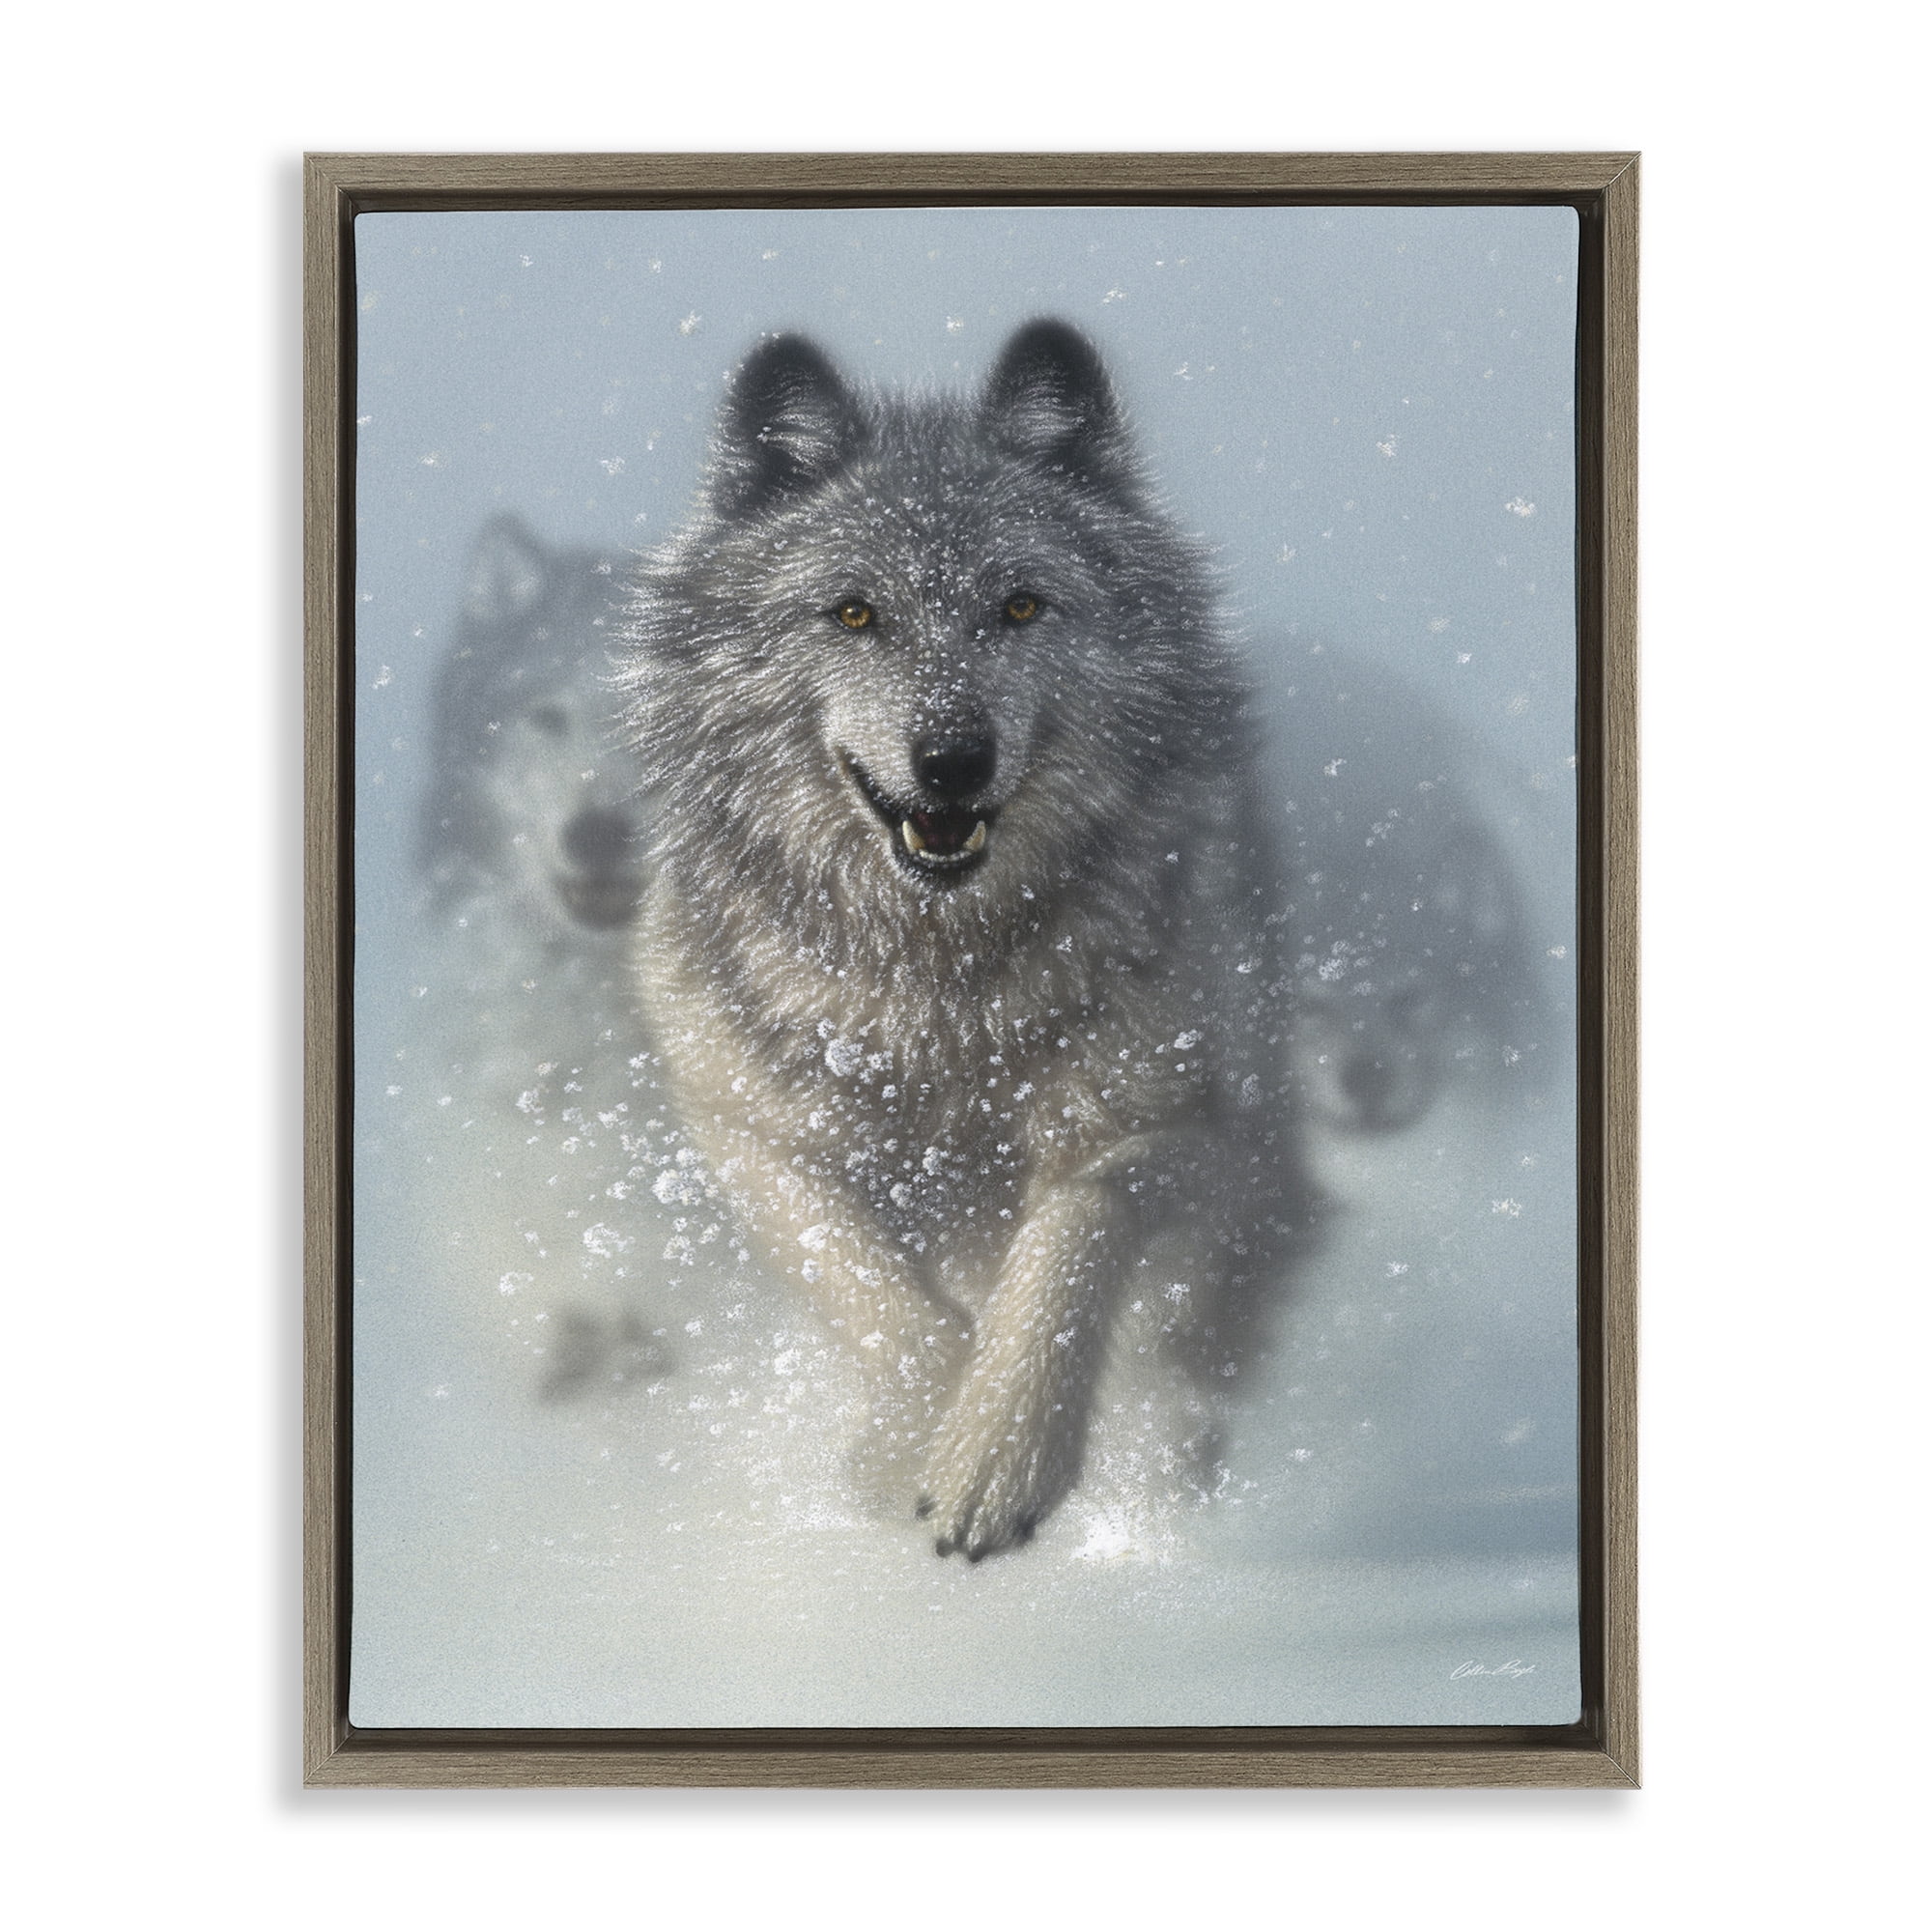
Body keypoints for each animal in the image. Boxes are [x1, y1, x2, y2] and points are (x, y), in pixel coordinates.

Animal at [617, 321, 1305, 1559]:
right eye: (853, 613)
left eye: (1020, 607)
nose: (950, 758)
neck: (935, 992)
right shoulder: (743, 1129)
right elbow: (877, 1295)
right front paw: (911, 1441)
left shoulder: (1182, 1125)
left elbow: (1070, 1238)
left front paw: (996, 1454)